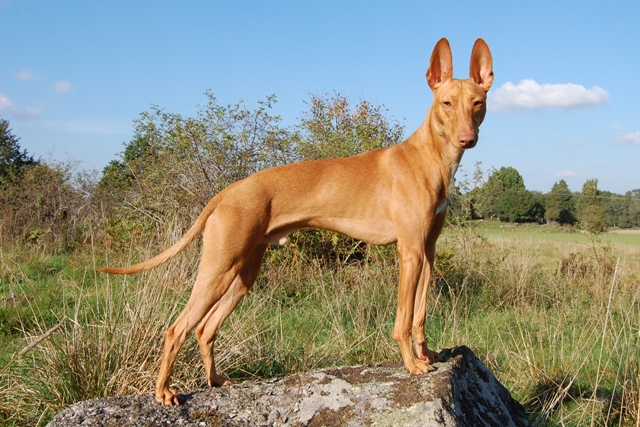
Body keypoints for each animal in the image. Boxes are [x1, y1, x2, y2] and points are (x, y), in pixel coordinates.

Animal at [99, 37, 496, 408]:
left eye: (477, 102)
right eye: (446, 103)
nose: (467, 139)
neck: (429, 159)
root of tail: (227, 193)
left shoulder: (427, 251)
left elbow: (420, 314)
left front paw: (426, 355)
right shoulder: (409, 251)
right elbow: (403, 318)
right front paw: (412, 365)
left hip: (244, 274)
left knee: (206, 329)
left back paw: (216, 380)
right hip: (217, 268)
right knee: (177, 329)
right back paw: (163, 392)